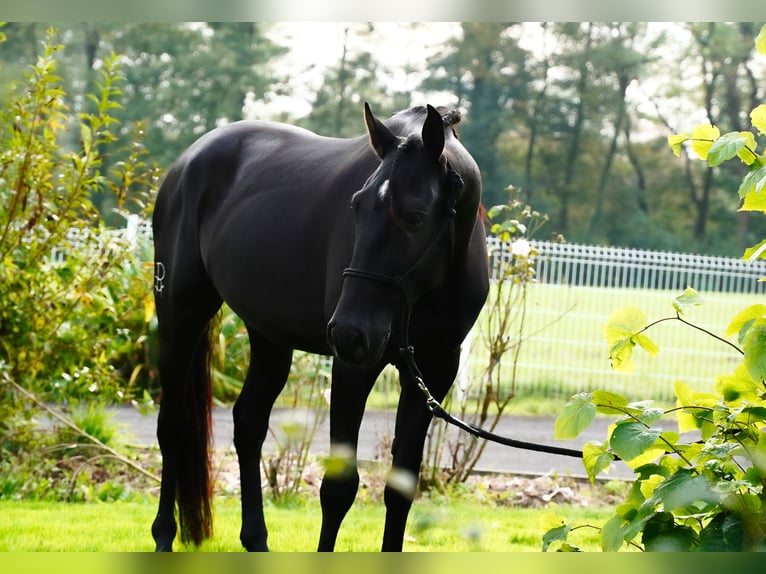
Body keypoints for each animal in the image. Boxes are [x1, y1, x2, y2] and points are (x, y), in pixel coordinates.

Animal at [148, 103, 492, 552]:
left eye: (415, 217)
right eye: (357, 206)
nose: (349, 331)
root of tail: (187, 161)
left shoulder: (433, 373)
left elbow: (400, 489)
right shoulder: (354, 368)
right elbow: (338, 489)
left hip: (269, 336)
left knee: (248, 424)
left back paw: (256, 540)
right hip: (180, 318)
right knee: (173, 427)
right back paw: (163, 536)